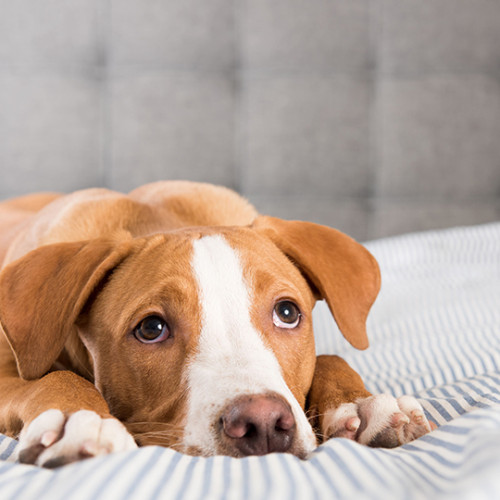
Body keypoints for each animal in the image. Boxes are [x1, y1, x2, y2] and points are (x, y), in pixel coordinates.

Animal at [0, 182, 432, 466]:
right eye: (151, 329)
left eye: (287, 313)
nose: (262, 423)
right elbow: (50, 378)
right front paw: (81, 419)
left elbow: (330, 357)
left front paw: (361, 403)